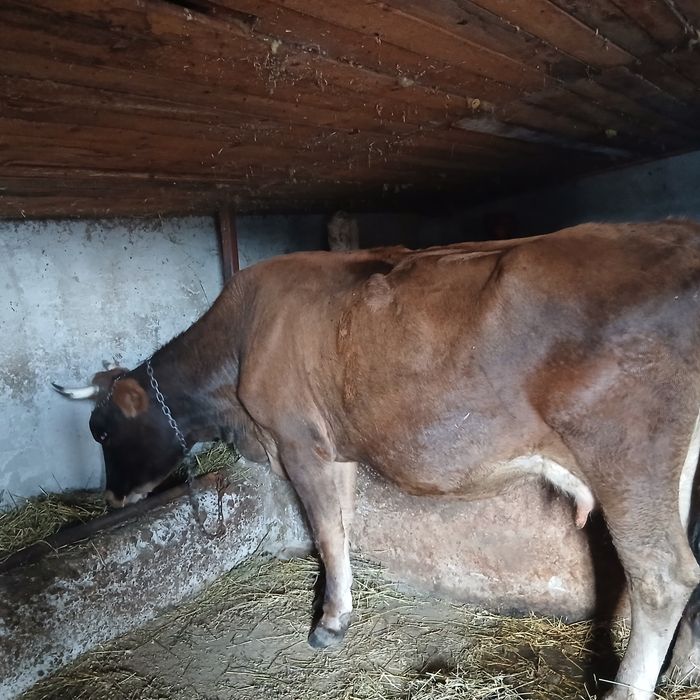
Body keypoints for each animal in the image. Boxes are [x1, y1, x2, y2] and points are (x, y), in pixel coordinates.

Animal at [54, 220, 700, 700]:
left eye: (100, 430)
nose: (110, 498)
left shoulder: (299, 443)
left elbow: (326, 533)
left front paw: (328, 622)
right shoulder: (334, 448)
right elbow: (342, 525)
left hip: (628, 460)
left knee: (663, 577)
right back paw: (681, 670)